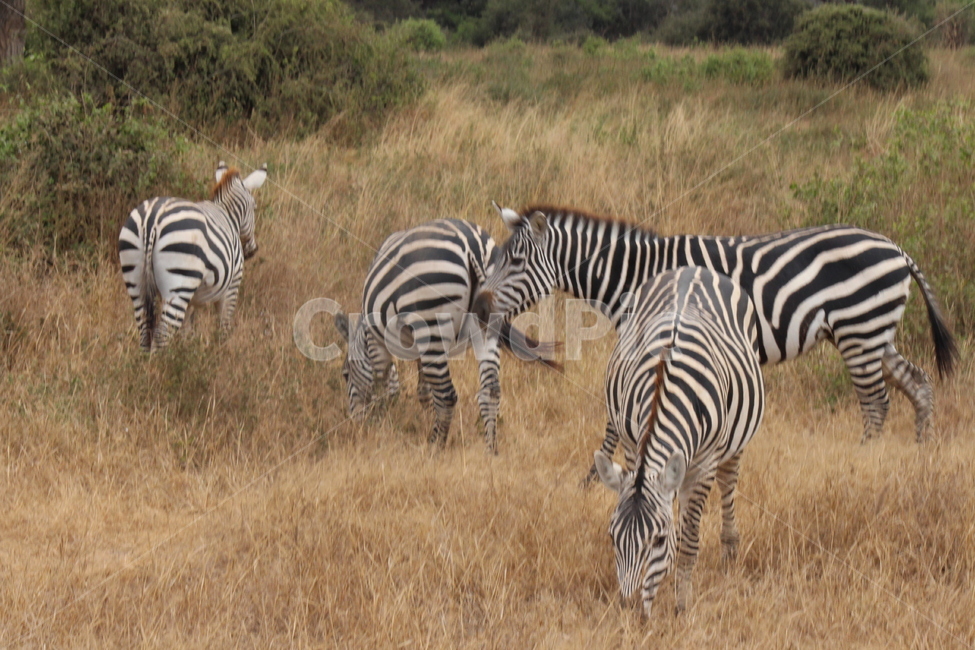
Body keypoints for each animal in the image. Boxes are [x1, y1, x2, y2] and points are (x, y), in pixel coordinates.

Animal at [118, 161, 267, 351]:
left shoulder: (191, 298)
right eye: (255, 207)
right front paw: (221, 350)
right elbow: (223, 324)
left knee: (145, 332)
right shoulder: (232, 285)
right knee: (162, 335)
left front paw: (187, 350)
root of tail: (152, 220)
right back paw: (166, 360)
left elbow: (187, 328)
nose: (252, 251)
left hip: (136, 280)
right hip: (179, 281)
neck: (226, 213)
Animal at [334, 219, 560, 453]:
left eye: (345, 374)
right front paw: (422, 418)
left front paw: (381, 424)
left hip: (431, 319)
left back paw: (435, 447)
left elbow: (381, 382)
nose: (355, 421)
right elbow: (423, 388)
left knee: (447, 395)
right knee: (491, 391)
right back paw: (491, 451)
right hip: (486, 322)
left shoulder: (377, 340)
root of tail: (473, 247)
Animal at [473, 204, 958, 448]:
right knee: (917, 384)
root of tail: (896, 248)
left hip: (859, 330)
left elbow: (628, 412)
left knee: (876, 403)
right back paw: (922, 456)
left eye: (515, 261)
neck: (636, 275)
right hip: (873, 333)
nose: (478, 306)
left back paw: (865, 460)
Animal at [594, 266, 765, 619]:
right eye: (612, 536)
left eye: (658, 541)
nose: (628, 609)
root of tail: (693, 269)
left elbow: (689, 541)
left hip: (735, 440)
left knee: (729, 482)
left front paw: (681, 605)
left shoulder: (704, 464)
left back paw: (730, 547)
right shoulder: (631, 445)